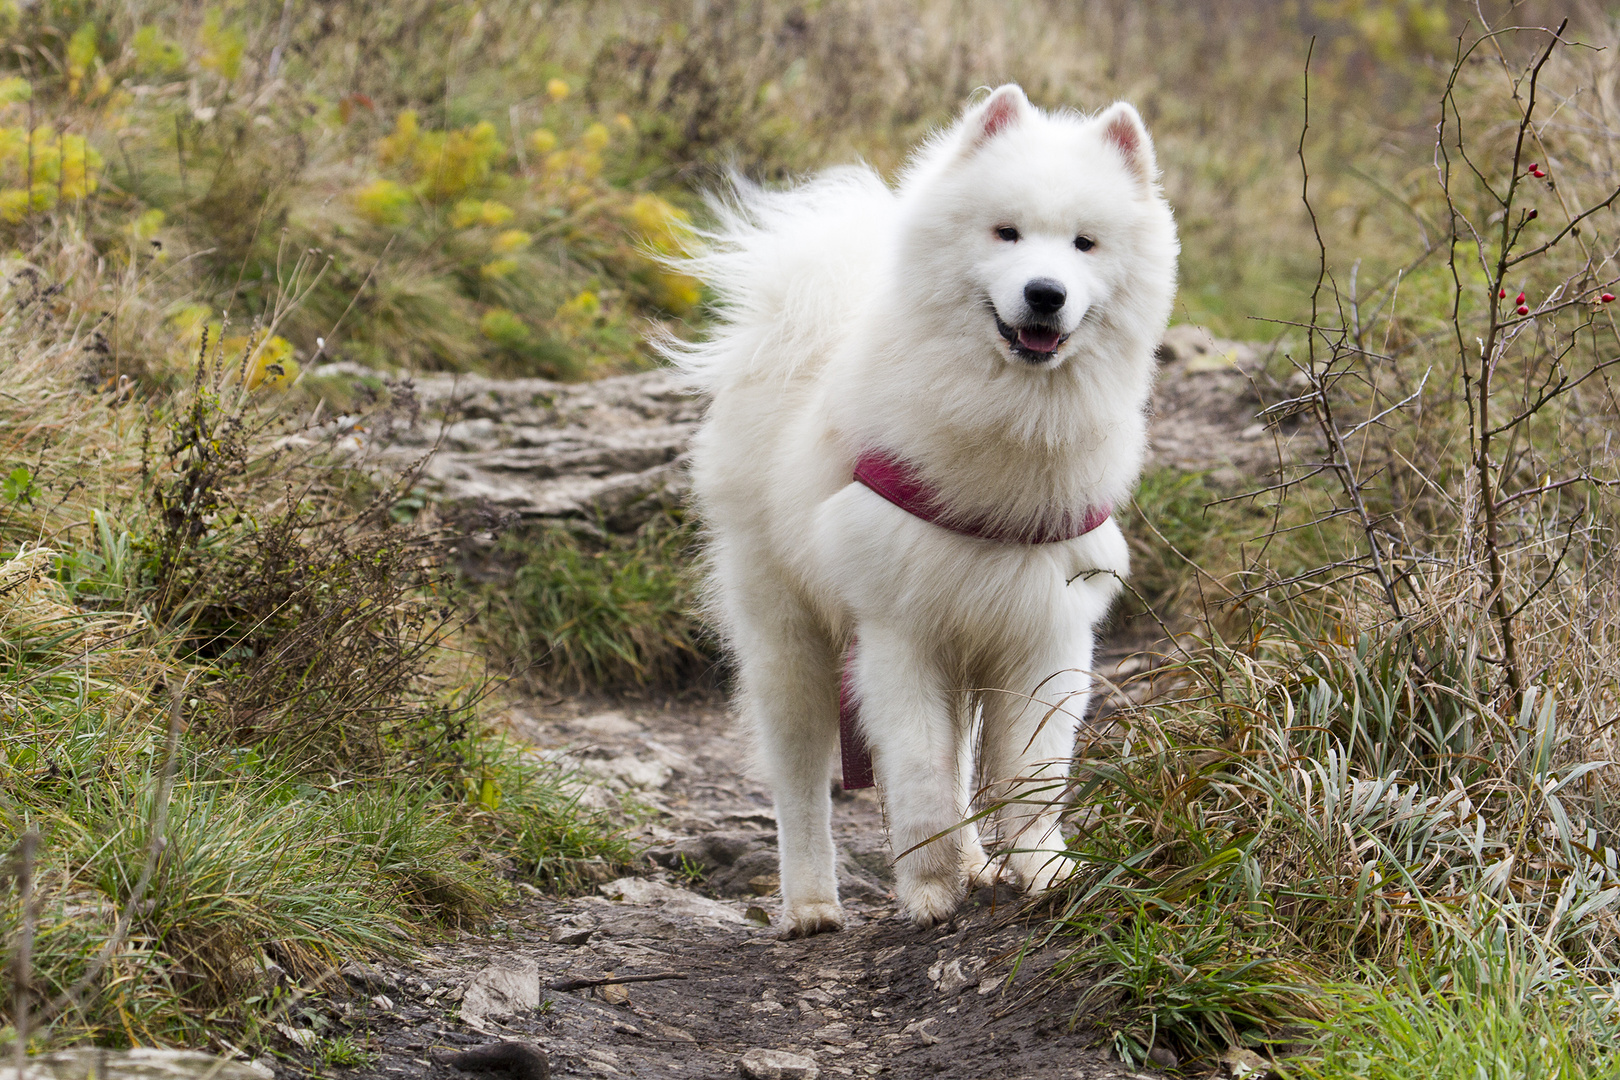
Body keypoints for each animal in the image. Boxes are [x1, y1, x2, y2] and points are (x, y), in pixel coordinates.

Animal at [670, 86, 1179, 939]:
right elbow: (918, 775)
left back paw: (977, 862)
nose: (1046, 294)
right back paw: (811, 904)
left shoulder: (1041, 630)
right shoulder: (898, 632)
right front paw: (930, 889)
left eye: (1085, 244)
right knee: (800, 785)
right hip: (790, 643)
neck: (1010, 424)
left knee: (967, 758)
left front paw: (1043, 870)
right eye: (1006, 232)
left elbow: (1032, 773)